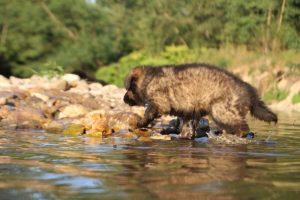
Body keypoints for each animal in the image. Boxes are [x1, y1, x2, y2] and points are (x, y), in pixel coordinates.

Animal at [123, 63, 278, 138]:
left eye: (129, 89)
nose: (124, 99)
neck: (149, 79)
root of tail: (249, 91)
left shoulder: (159, 101)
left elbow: (149, 111)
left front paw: (141, 122)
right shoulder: (189, 111)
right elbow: (186, 125)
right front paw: (185, 135)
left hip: (221, 110)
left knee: (242, 125)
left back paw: (240, 134)